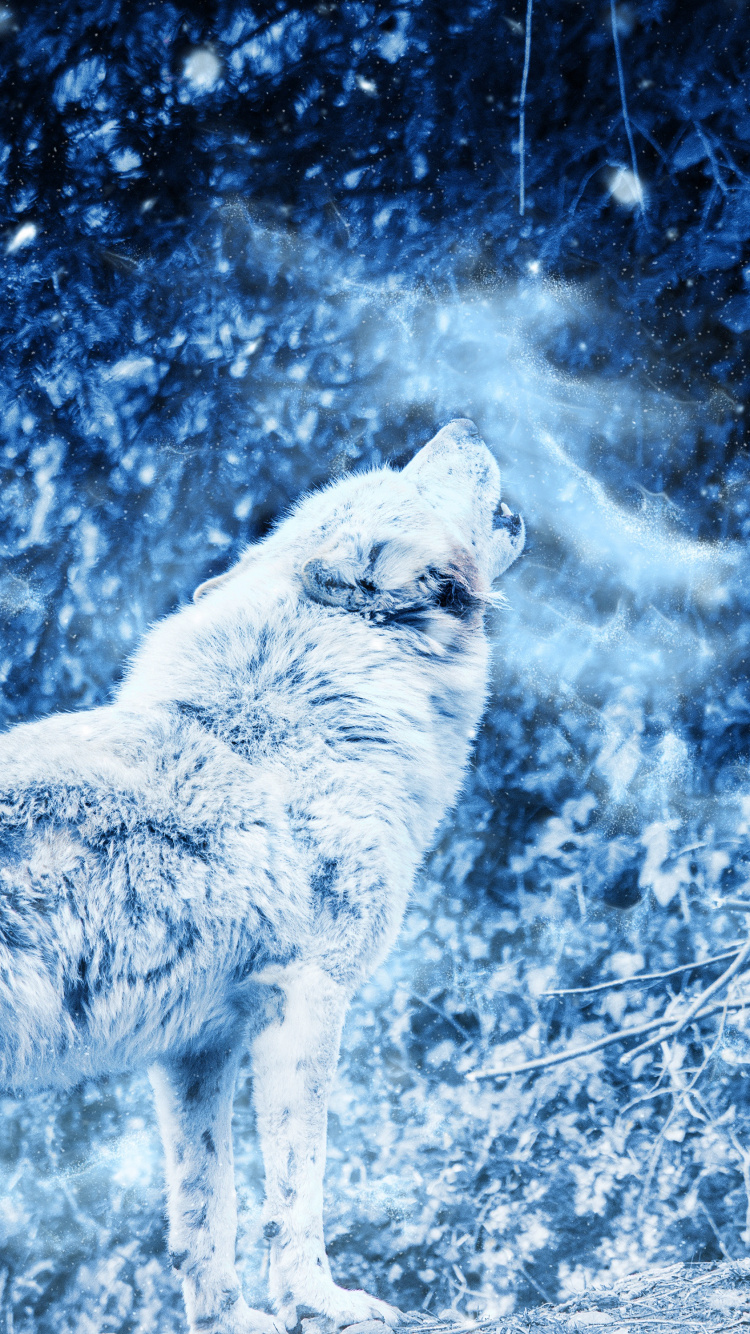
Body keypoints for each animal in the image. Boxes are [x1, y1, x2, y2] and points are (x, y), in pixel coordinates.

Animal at [0, 419, 524, 1334]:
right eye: (410, 481)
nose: (461, 425)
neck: (314, 722)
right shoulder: (309, 999)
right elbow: (296, 1190)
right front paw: (324, 1301)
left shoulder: (195, 1049)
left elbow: (205, 1209)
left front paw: (233, 1320)